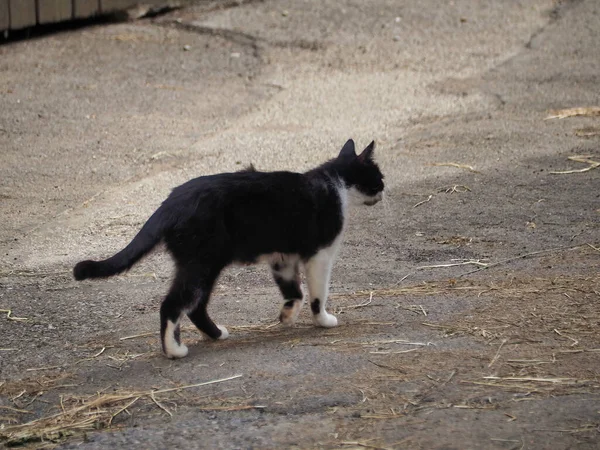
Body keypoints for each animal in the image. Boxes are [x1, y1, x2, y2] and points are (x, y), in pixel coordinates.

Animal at [74, 139, 384, 356]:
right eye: (378, 176)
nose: (384, 189)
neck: (335, 184)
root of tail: (172, 201)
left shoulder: (281, 257)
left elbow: (294, 291)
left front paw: (287, 316)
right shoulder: (320, 255)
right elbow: (318, 293)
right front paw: (323, 320)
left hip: (201, 264)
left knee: (195, 307)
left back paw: (215, 334)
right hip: (203, 263)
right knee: (173, 304)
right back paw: (174, 350)